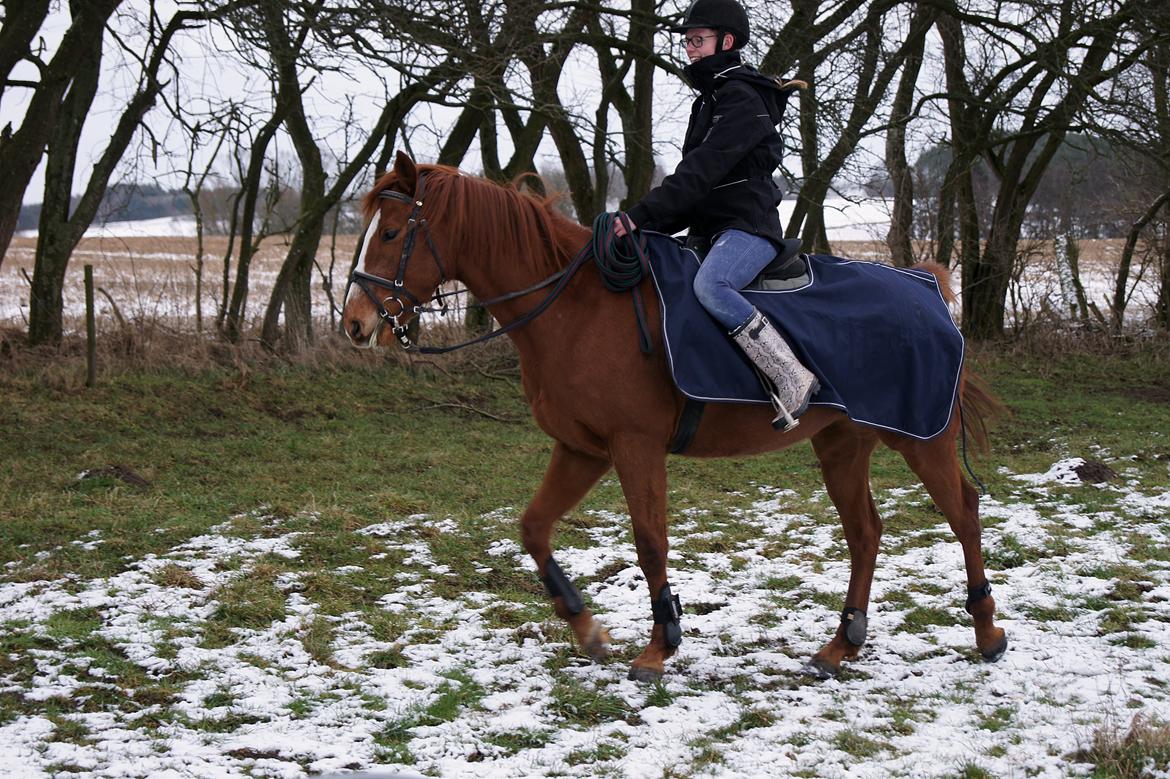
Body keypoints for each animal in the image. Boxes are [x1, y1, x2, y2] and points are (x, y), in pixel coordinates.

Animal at [339, 148, 1006, 678]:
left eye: (392, 233)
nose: (355, 324)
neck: (577, 308)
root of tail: (924, 288)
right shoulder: (582, 449)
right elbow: (533, 528)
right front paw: (587, 628)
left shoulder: (634, 446)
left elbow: (650, 540)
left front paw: (660, 646)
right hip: (843, 443)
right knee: (866, 532)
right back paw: (840, 646)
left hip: (921, 438)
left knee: (965, 514)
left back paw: (987, 631)